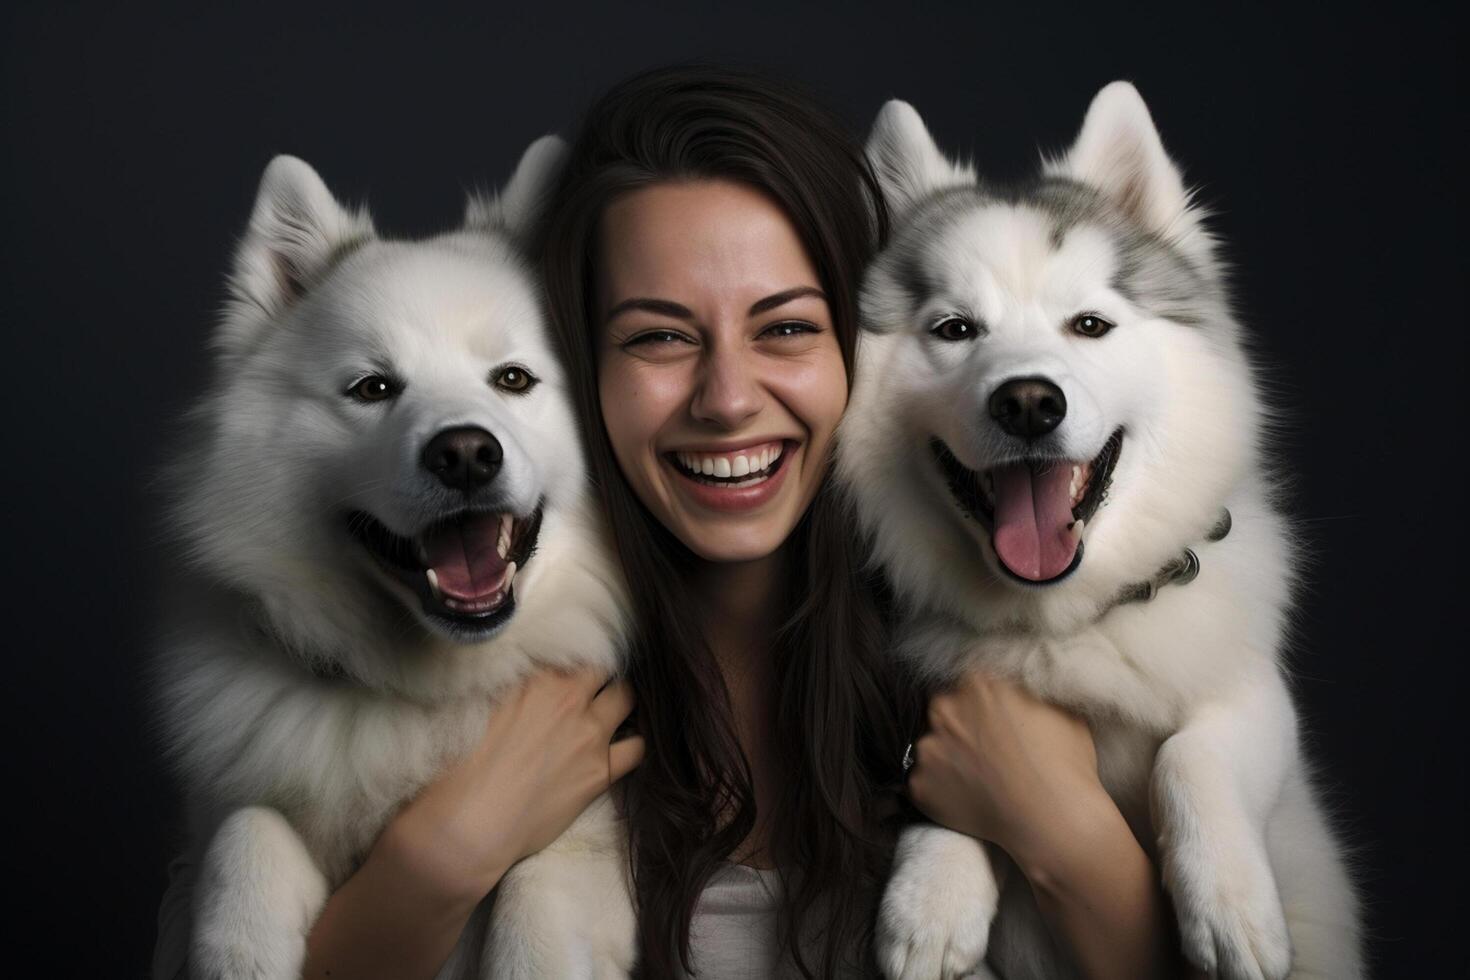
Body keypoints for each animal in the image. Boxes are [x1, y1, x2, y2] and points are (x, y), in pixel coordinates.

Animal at [153, 141, 637, 975]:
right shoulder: (222, 814)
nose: (466, 454)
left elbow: (536, 897)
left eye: (513, 378)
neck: (427, 692)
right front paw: (240, 947)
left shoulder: (592, 837)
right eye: (373, 387)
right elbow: (247, 828)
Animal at [840, 86, 1364, 980]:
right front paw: (932, 896)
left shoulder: (1256, 693)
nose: (1027, 403)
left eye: (1088, 325)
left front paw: (1229, 906)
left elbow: (1191, 756)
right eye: (955, 330)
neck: (1064, 620)